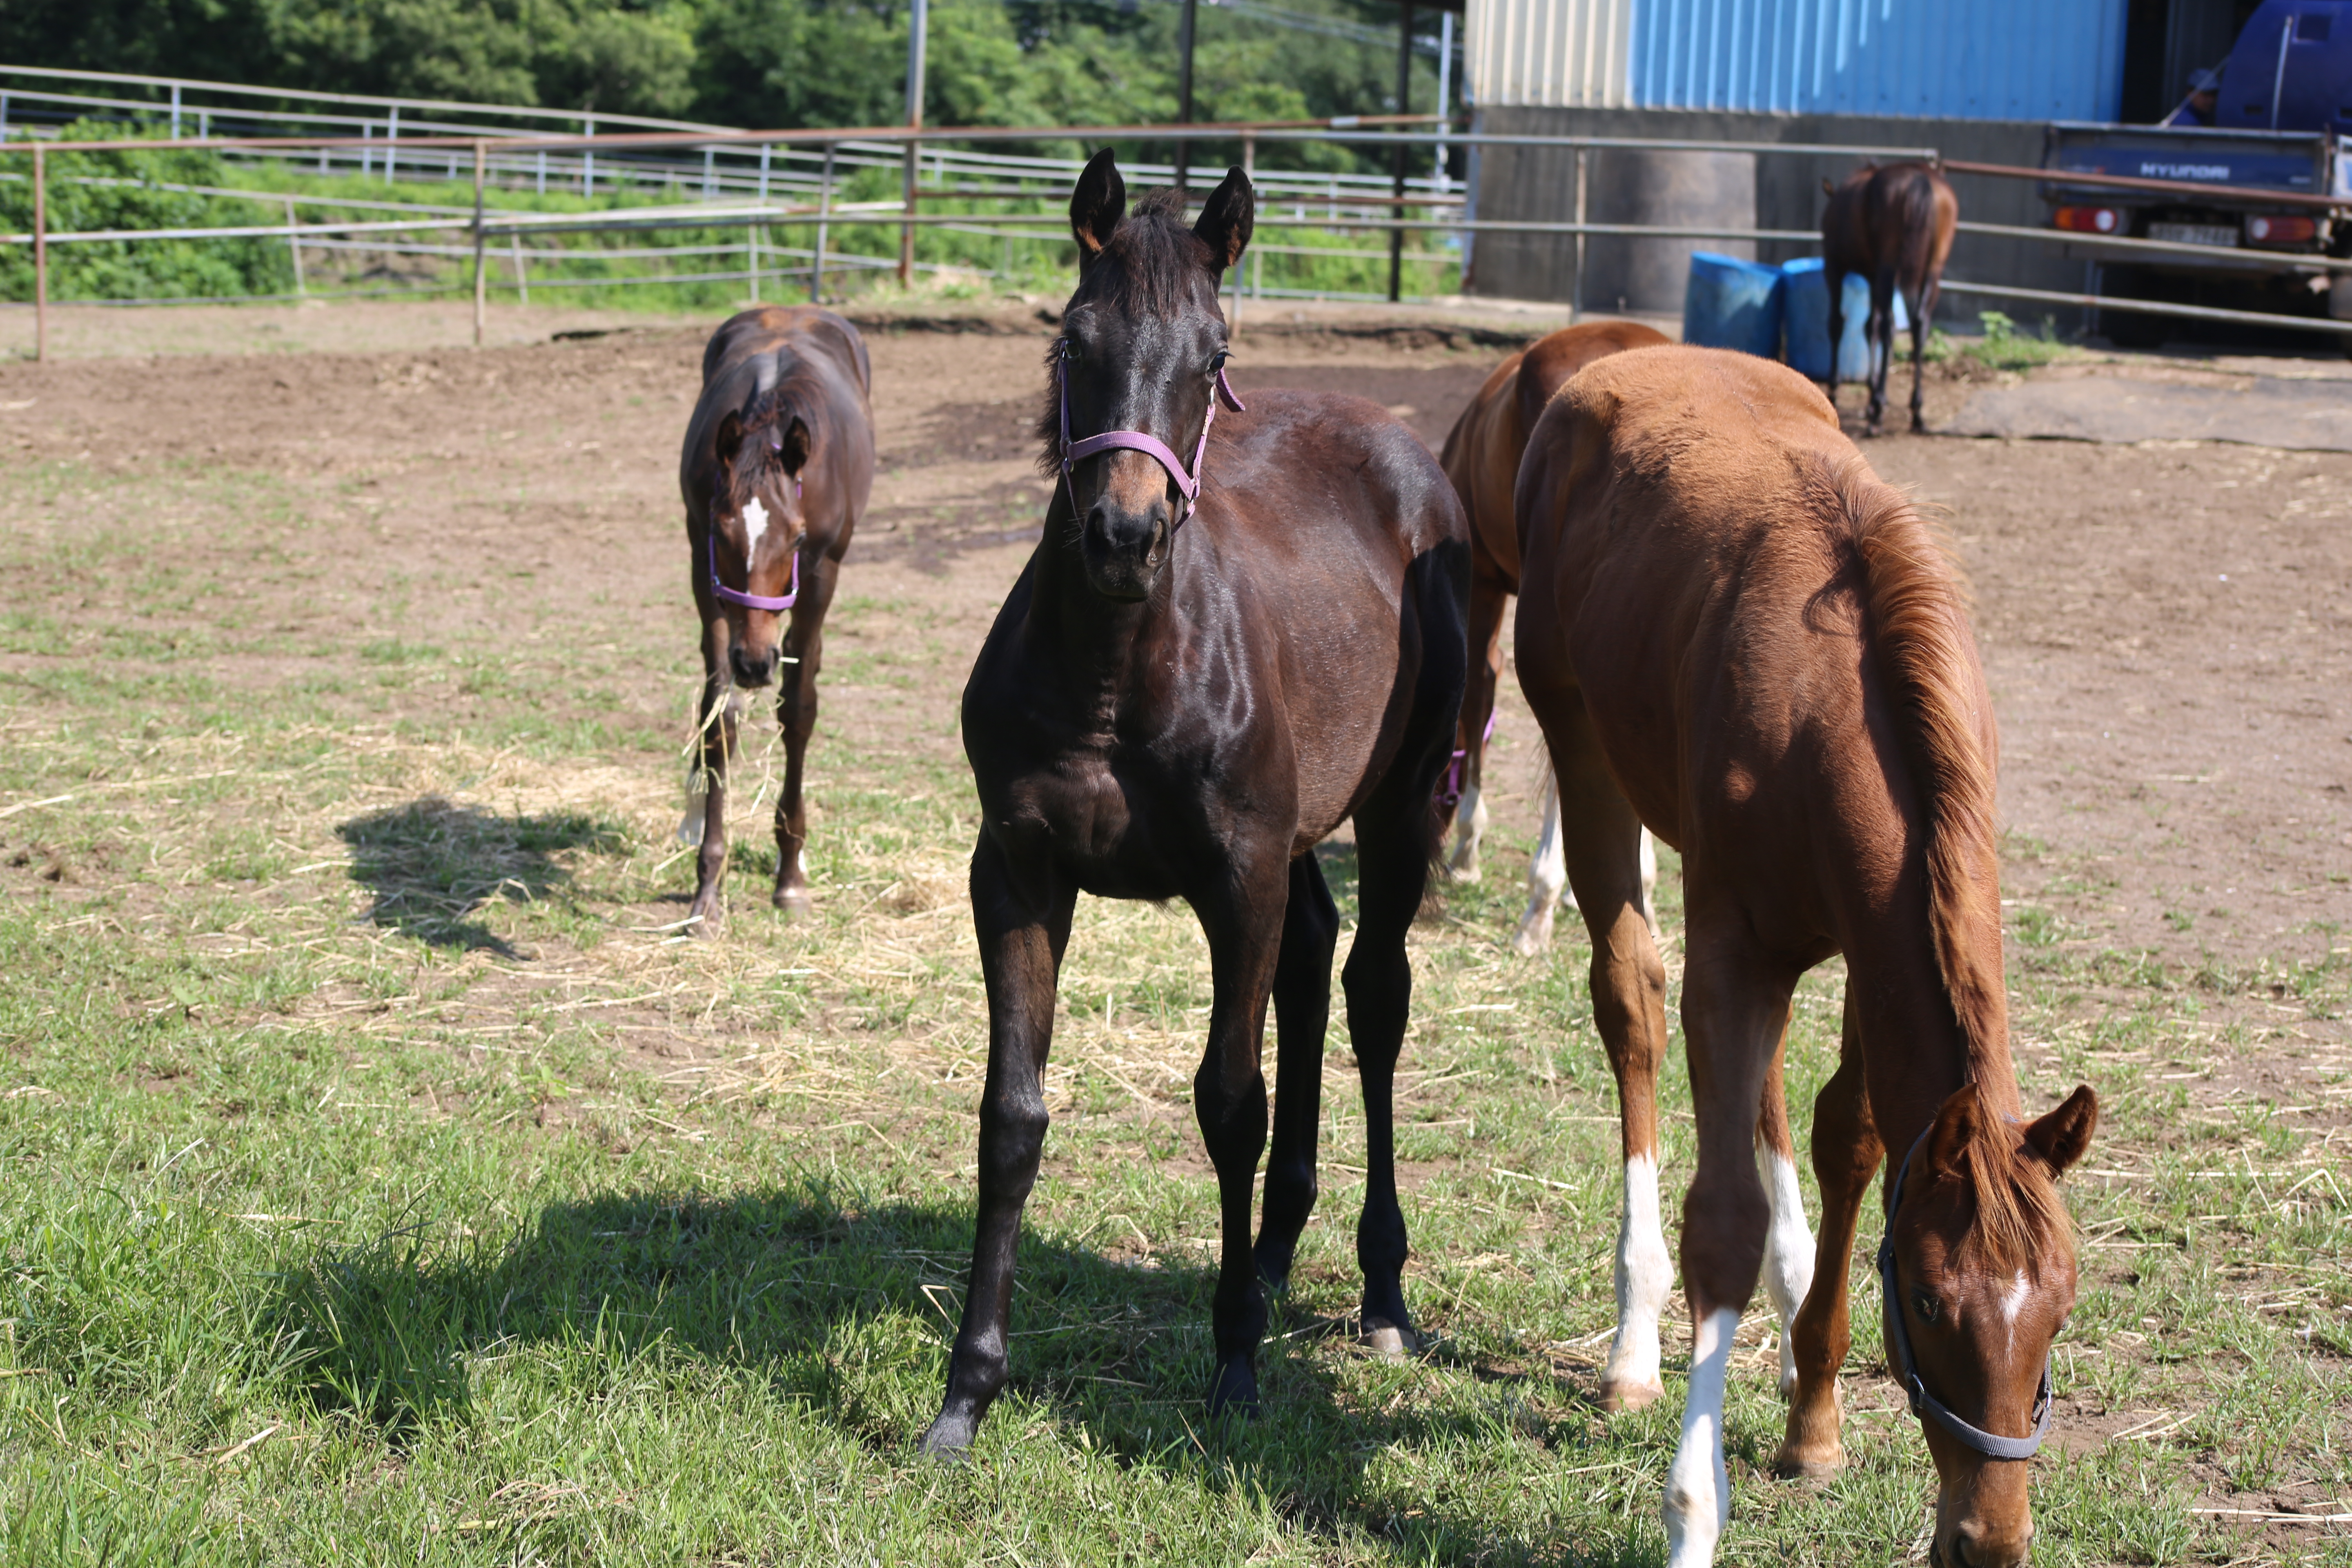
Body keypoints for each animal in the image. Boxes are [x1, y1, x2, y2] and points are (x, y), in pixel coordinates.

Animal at [682, 312, 875, 940]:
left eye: (794, 538)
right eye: (723, 535)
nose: (753, 661)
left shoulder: (819, 573)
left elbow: (798, 712)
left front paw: (790, 876)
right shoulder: (705, 573)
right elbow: (719, 717)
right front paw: (707, 890)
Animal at [922, 150, 1458, 1457]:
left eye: (1214, 358)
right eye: (1073, 339)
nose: (1122, 533)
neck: (1118, 670)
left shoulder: (1235, 878)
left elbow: (1229, 1104)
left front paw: (1235, 1372)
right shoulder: (1017, 872)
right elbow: (1012, 1115)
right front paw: (967, 1391)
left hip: (1401, 805)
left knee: (1373, 995)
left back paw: (1377, 1290)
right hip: (1301, 840)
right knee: (1314, 958)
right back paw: (1269, 1256)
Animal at [1515, 343, 2107, 1568]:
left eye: (2062, 1304)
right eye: (1926, 1302)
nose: (1987, 1541)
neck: (1829, 699)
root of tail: (1623, 359)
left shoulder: (1872, 938)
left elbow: (1854, 1139)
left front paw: (1815, 1412)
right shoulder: (1733, 944)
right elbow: (1721, 1222)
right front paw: (1693, 1515)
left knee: (1770, 1098)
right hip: (1589, 764)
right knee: (1631, 1011)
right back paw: (1633, 1346)